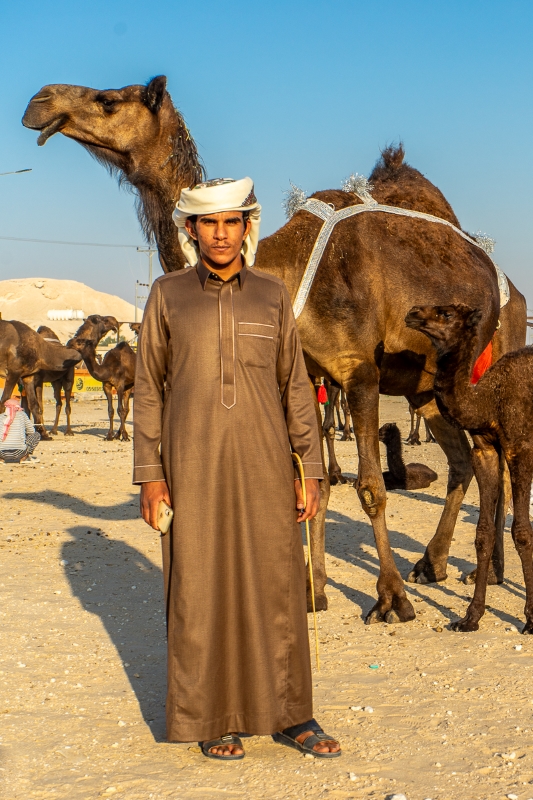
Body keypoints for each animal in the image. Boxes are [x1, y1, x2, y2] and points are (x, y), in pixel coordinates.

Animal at [22, 78, 524, 620]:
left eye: (110, 100)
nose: (39, 102)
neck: (285, 266)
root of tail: (510, 289)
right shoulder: (309, 374)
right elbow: (314, 483)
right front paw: (315, 590)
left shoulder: (359, 372)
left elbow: (370, 487)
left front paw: (391, 598)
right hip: (427, 387)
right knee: (465, 461)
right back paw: (439, 563)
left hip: (487, 366)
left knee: (493, 462)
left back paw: (484, 570)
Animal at [404, 304, 532, 636]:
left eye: (446, 314)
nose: (412, 313)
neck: (489, 401)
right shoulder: (485, 450)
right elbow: (482, 532)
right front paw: (470, 617)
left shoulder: (520, 448)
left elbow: (522, 531)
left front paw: (531, 618)